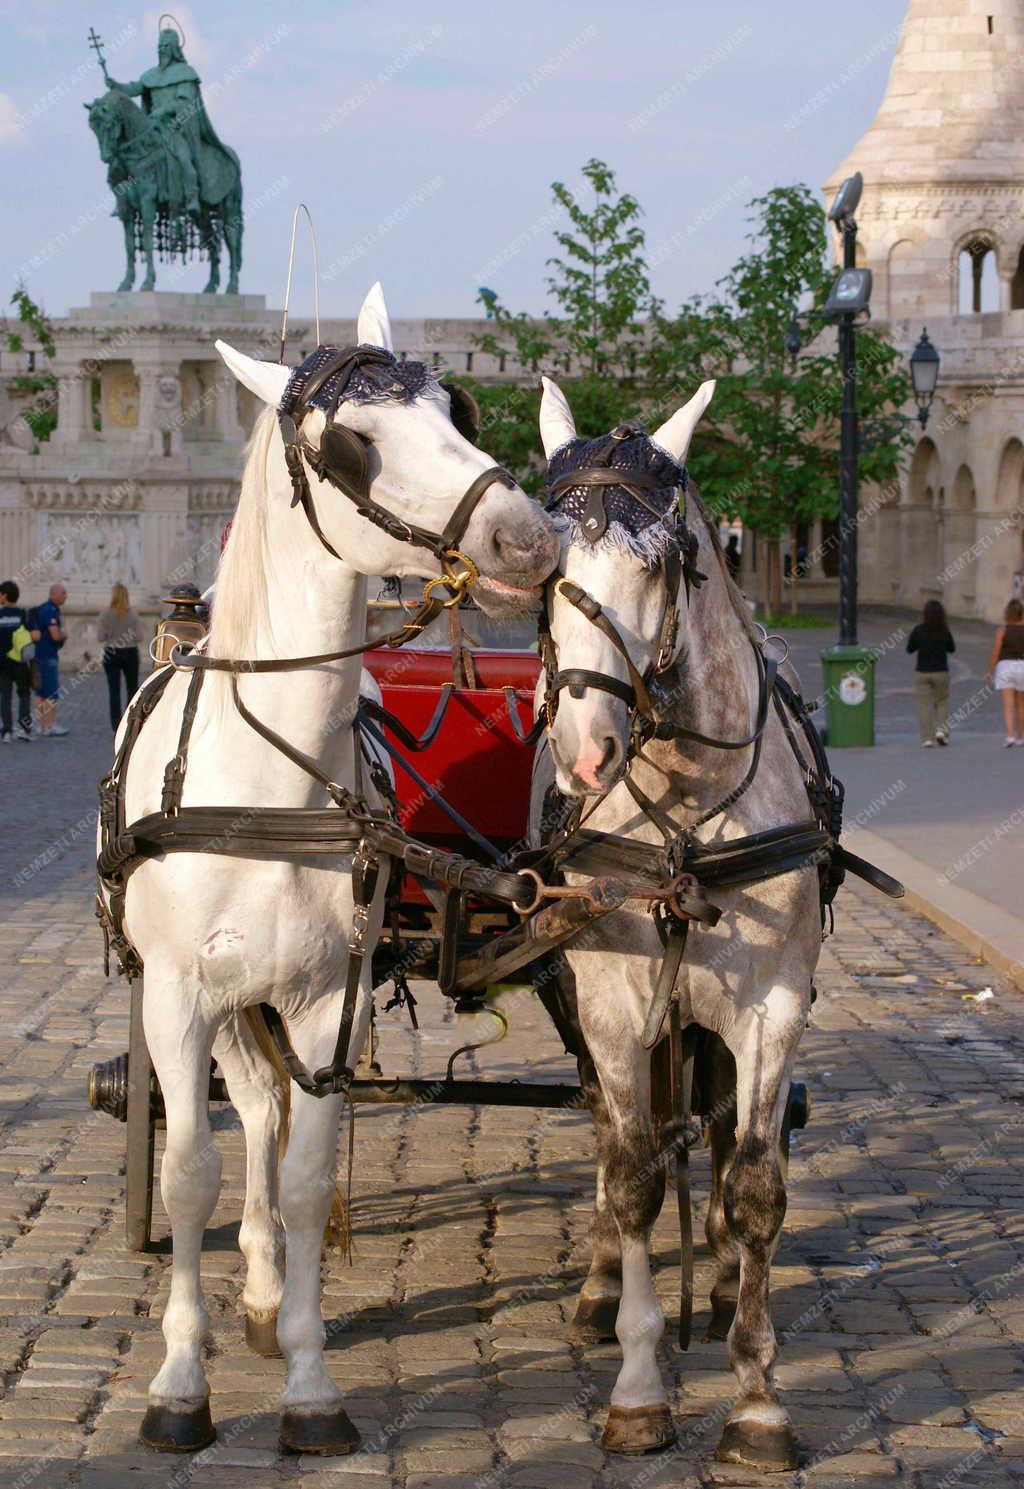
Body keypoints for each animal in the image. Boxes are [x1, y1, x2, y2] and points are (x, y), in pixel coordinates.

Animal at [108, 284, 559, 1459]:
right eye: (353, 442)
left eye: (459, 408)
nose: (530, 535)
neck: (271, 780)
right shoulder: (177, 995)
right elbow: (188, 1172)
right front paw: (179, 1382)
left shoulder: (323, 997)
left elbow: (307, 1175)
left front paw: (309, 1383)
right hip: (209, 997)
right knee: (239, 1116)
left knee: (268, 1110)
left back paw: (270, 1290)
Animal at [532, 378, 821, 1471]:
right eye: (544, 566)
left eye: (661, 561)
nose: (585, 749)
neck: (689, 812)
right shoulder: (612, 1007)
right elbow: (631, 1176)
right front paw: (640, 1383)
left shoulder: (772, 1003)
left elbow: (755, 1184)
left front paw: (756, 1399)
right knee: (624, 1133)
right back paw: (602, 1285)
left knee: (719, 1132)